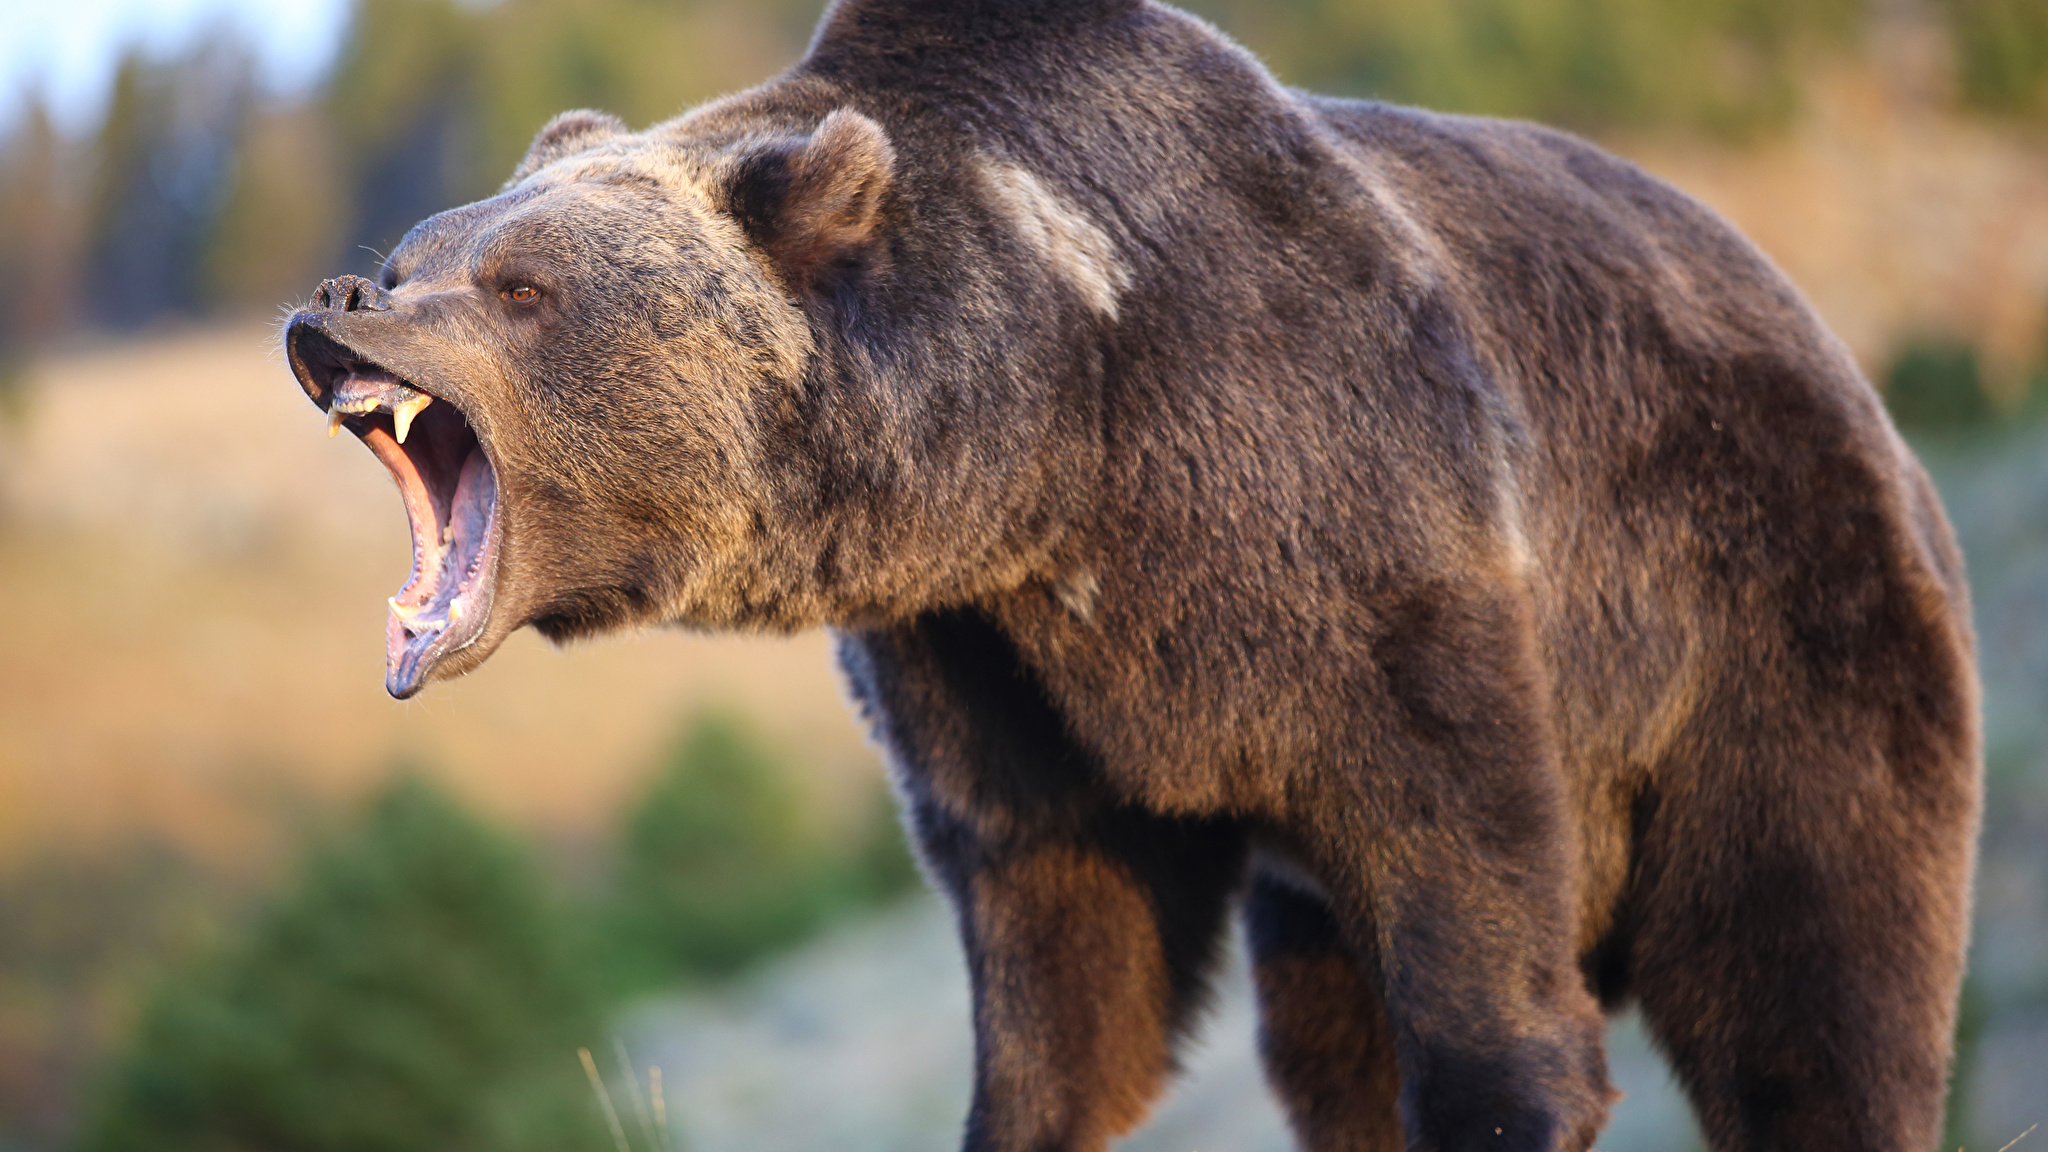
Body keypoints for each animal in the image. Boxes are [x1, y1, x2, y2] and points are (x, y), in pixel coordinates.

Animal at [280, 2, 1974, 1147]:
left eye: (519, 285)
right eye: (422, 247)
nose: (336, 303)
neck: (1056, 446)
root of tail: (1842, 360)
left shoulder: (1366, 534)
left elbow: (1472, 896)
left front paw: (1516, 1089)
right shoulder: (992, 668)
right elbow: (1069, 971)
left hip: (1772, 627)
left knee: (1816, 987)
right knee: (1328, 1040)